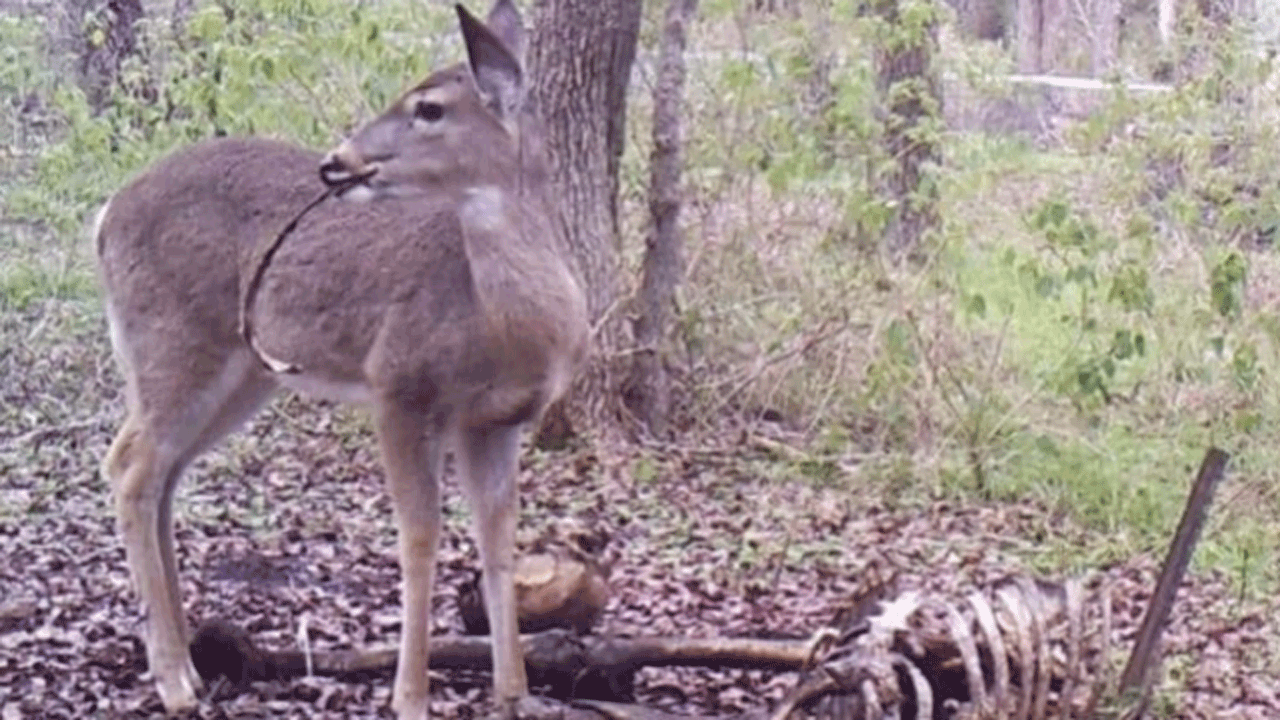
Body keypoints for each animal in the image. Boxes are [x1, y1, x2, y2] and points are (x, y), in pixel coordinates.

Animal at [92, 2, 586, 712]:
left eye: (429, 107)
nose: (337, 161)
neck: (505, 323)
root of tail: (104, 217)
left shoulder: (496, 421)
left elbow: (499, 541)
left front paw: (513, 693)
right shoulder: (399, 385)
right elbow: (420, 537)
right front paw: (410, 698)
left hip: (243, 373)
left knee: (163, 472)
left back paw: (189, 660)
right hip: (171, 342)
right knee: (131, 467)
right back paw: (173, 681)